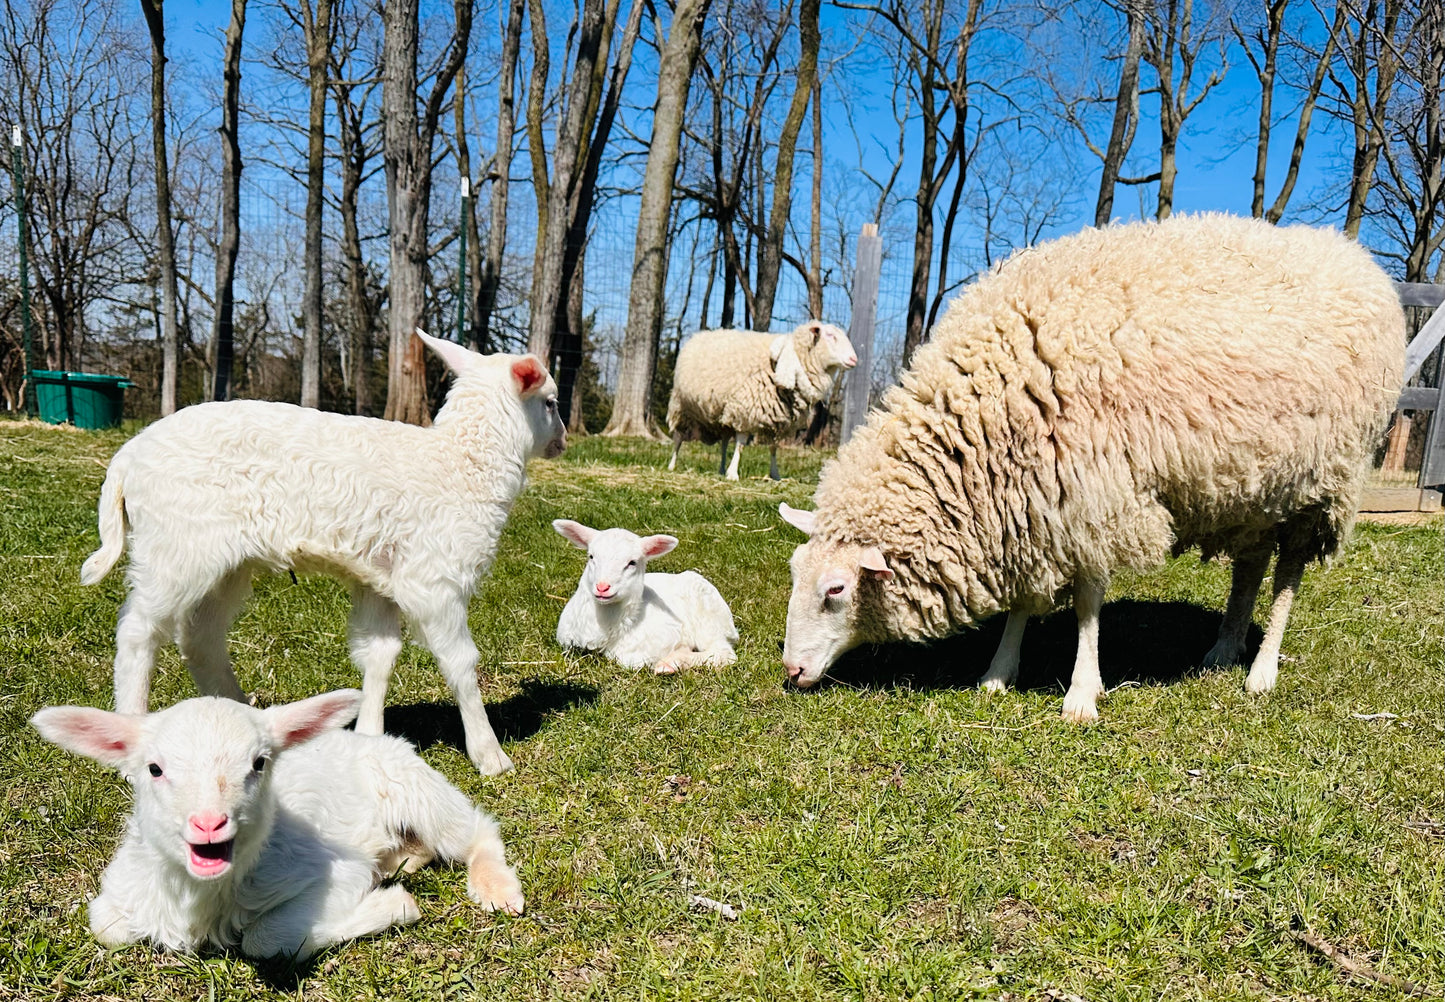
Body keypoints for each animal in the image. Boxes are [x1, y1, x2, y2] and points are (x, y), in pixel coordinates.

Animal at [29, 688, 525, 960]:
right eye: (154, 769)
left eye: (259, 763)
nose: (209, 823)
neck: (202, 896)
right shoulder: (125, 886)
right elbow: (104, 926)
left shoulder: (336, 871)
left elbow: (264, 939)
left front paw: (392, 906)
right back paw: (400, 861)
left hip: (413, 784)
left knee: (477, 830)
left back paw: (497, 891)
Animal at [77, 328, 563, 774]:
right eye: (552, 403)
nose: (562, 440)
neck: (465, 465)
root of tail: (126, 458)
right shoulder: (435, 577)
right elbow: (461, 662)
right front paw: (490, 755)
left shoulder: (380, 577)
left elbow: (379, 654)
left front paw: (369, 737)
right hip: (174, 546)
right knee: (138, 630)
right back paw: (132, 734)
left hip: (220, 560)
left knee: (200, 637)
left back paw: (245, 717)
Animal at [549, 514, 739, 670]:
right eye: (591, 557)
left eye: (632, 562)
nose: (602, 587)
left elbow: (629, 660)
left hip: (708, 619)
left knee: (723, 652)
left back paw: (669, 664)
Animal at [664, 318, 855, 480]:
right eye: (830, 336)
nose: (854, 359)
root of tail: (698, 335)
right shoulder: (746, 408)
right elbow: (741, 443)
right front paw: (733, 474)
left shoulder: (779, 418)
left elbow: (773, 447)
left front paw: (775, 474)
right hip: (681, 406)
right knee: (678, 437)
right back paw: (672, 465)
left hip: (721, 415)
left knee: (724, 442)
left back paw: (721, 469)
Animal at [780, 212, 1398, 720]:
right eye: (794, 572)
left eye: (836, 589)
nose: (791, 670)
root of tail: (1353, 255)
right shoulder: (1033, 501)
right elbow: (1027, 598)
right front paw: (998, 673)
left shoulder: (1094, 492)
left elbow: (1086, 603)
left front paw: (1081, 693)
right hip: (1257, 489)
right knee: (1249, 566)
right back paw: (1222, 651)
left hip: (1322, 485)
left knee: (1288, 574)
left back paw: (1261, 670)